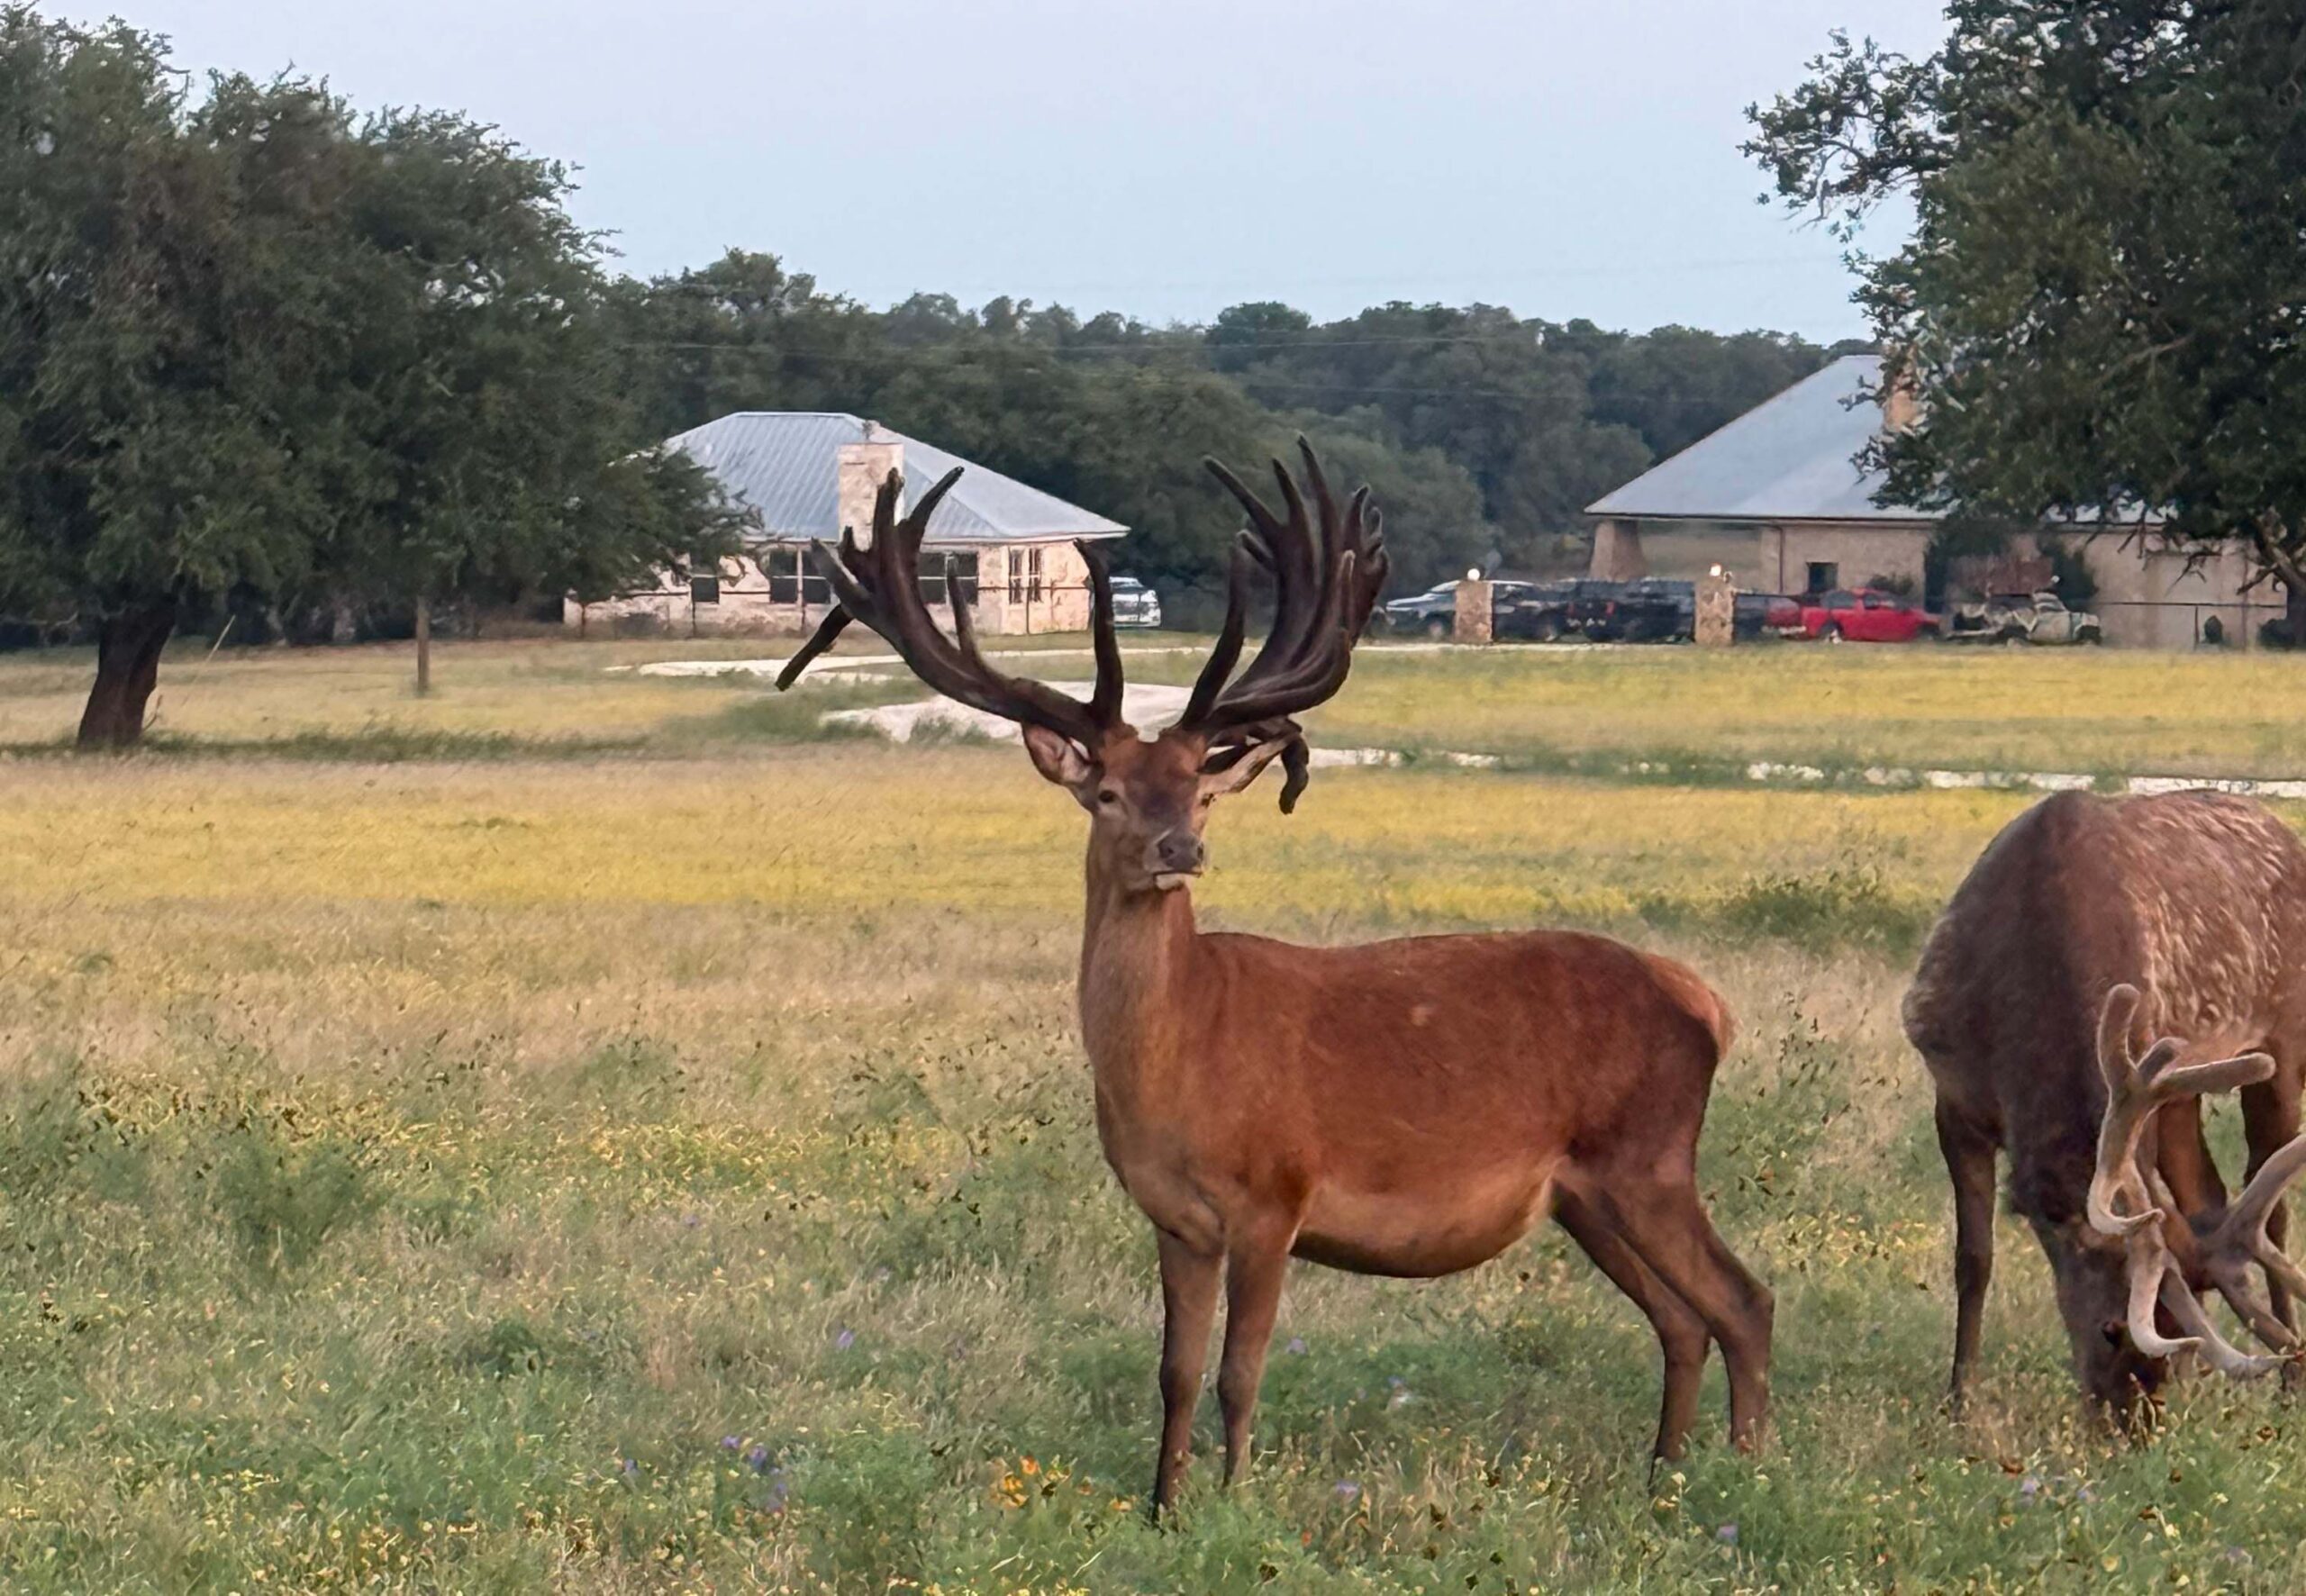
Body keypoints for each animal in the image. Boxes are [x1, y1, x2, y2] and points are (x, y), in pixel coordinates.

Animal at [775, 440, 1774, 1515]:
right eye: (1110, 791)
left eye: (1203, 792)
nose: (1179, 848)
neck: (1182, 1062)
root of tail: (1706, 1003)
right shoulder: (1176, 1220)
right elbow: (1174, 1370)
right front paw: (1163, 1507)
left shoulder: (1274, 1198)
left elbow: (1239, 1371)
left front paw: (1236, 1500)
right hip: (1587, 1193)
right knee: (1681, 1318)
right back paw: (1663, 1478)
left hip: (1648, 1156)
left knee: (1744, 1300)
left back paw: (1749, 1476)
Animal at [1902, 789, 2306, 1415]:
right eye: (2111, 1331)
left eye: (2174, 1332)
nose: (2133, 1422)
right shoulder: (1953, 1092)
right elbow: (1974, 1259)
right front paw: (1959, 1399)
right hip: (2185, 1090)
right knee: (2209, 1199)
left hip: (2282, 1046)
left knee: (2272, 1209)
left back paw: (2289, 1381)